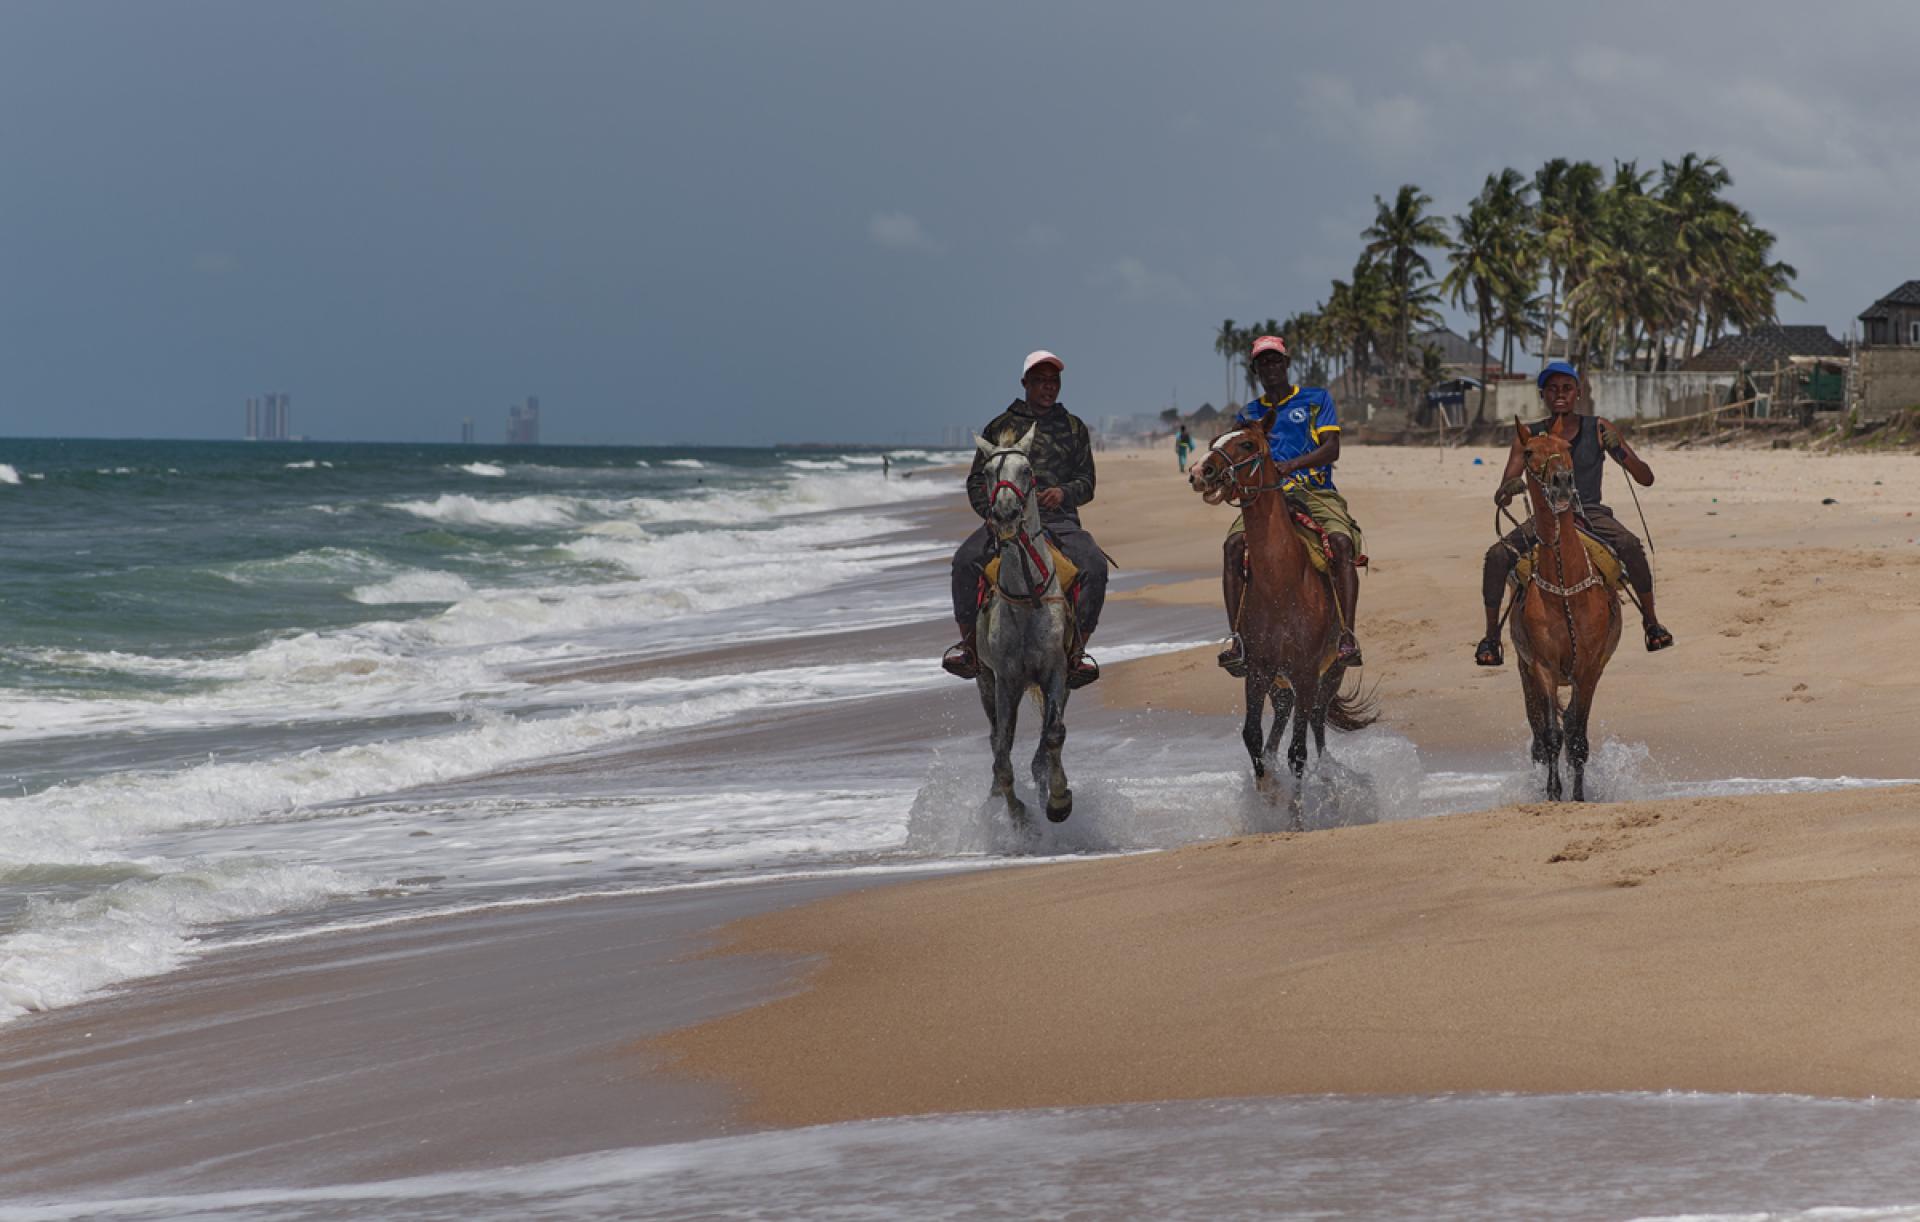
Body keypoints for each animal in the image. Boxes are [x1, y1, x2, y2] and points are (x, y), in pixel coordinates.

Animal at [967, 424, 1075, 826]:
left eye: (1027, 470)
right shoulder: (1005, 680)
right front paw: (1018, 816)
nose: (1005, 514)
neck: (1027, 596)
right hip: (984, 681)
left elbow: (1054, 734)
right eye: (986, 473)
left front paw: (1058, 801)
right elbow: (1002, 751)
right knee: (997, 739)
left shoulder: (1056, 670)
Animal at [1190, 415, 1374, 826]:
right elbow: (1254, 738)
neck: (1281, 583)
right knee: (1278, 730)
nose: (1199, 472)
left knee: (1318, 736)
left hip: (1326, 678)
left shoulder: (1305, 673)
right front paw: (1268, 795)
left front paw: (1295, 818)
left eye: (1246, 444)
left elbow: (1298, 753)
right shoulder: (1258, 671)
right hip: (1280, 687)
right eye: (1214, 441)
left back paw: (1332, 795)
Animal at [1505, 420, 1628, 803]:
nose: (1561, 481)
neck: (1565, 586)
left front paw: (1578, 795)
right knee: (1539, 733)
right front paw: (1553, 793)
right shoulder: (1542, 666)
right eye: (1529, 451)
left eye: (1566, 448)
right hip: (1524, 668)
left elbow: (1577, 736)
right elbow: (1552, 735)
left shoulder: (1589, 669)